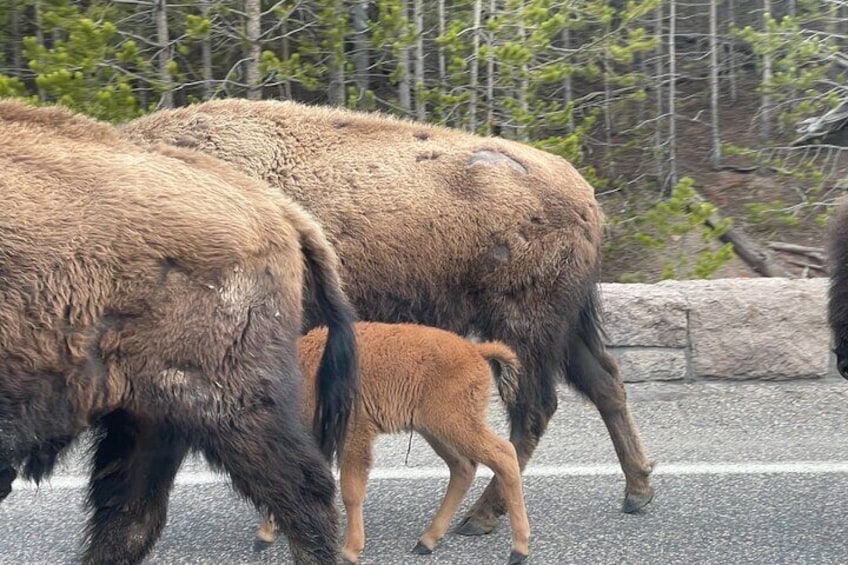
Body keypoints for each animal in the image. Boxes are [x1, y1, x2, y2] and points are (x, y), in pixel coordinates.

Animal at [122, 98, 660, 532]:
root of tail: (584, 195)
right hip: (565, 326)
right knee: (604, 383)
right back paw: (637, 491)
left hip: (526, 325)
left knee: (534, 409)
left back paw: (479, 519)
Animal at [255, 322, 528, 564]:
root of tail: (474, 351)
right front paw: (265, 536)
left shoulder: (354, 437)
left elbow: (351, 491)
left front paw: (350, 551)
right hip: (435, 431)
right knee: (463, 468)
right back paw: (426, 542)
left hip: (456, 426)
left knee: (503, 455)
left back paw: (518, 550)